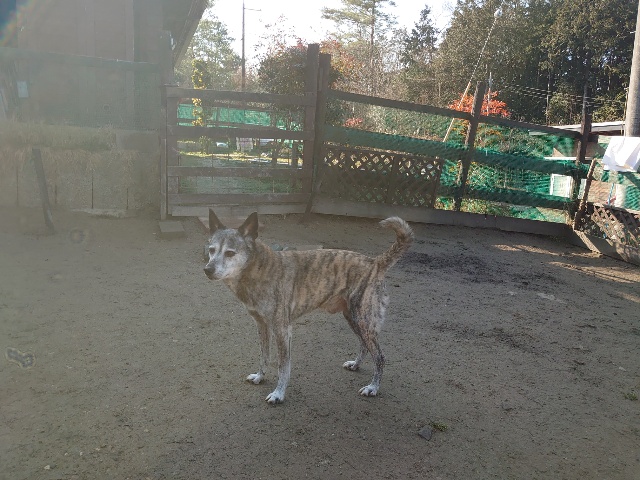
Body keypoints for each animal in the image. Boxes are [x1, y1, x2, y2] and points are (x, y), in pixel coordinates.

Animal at [203, 209, 413, 404]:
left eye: (230, 253)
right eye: (211, 250)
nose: (207, 270)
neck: (258, 268)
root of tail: (375, 262)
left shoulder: (282, 330)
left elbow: (283, 366)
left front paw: (279, 394)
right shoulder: (262, 325)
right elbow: (264, 355)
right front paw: (259, 377)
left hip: (364, 320)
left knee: (380, 356)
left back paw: (373, 387)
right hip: (354, 319)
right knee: (364, 345)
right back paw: (355, 365)